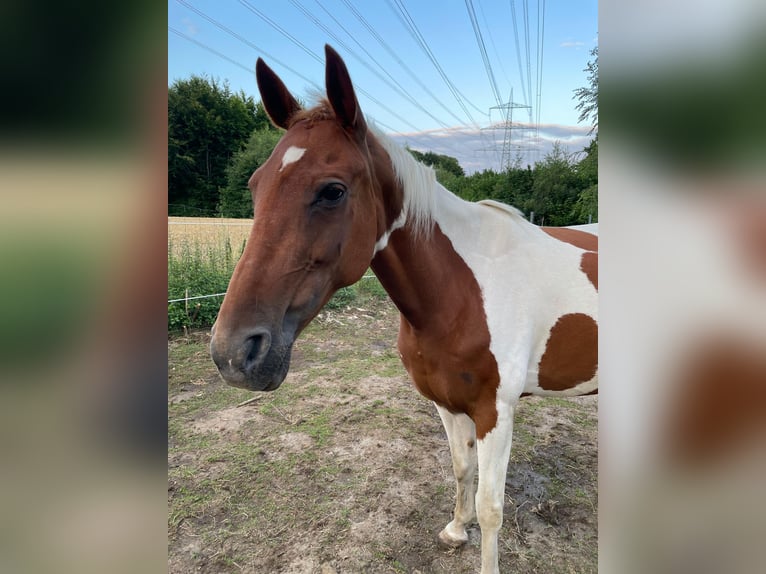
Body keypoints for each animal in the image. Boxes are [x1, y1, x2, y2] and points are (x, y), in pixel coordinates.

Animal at [210, 45, 598, 574]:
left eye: (332, 190)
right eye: (254, 185)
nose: (234, 353)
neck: (461, 289)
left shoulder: (496, 411)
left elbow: (491, 507)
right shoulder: (447, 402)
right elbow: (461, 469)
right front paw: (455, 529)